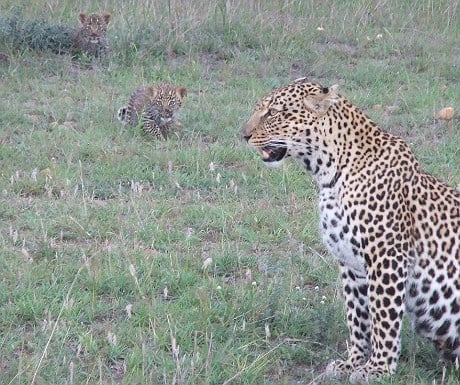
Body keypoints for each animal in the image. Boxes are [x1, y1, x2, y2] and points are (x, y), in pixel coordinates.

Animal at [243, 77, 458, 380]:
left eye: (273, 113)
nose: (243, 135)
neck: (327, 172)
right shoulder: (351, 264)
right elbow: (357, 317)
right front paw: (353, 362)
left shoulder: (386, 258)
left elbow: (383, 318)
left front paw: (378, 368)